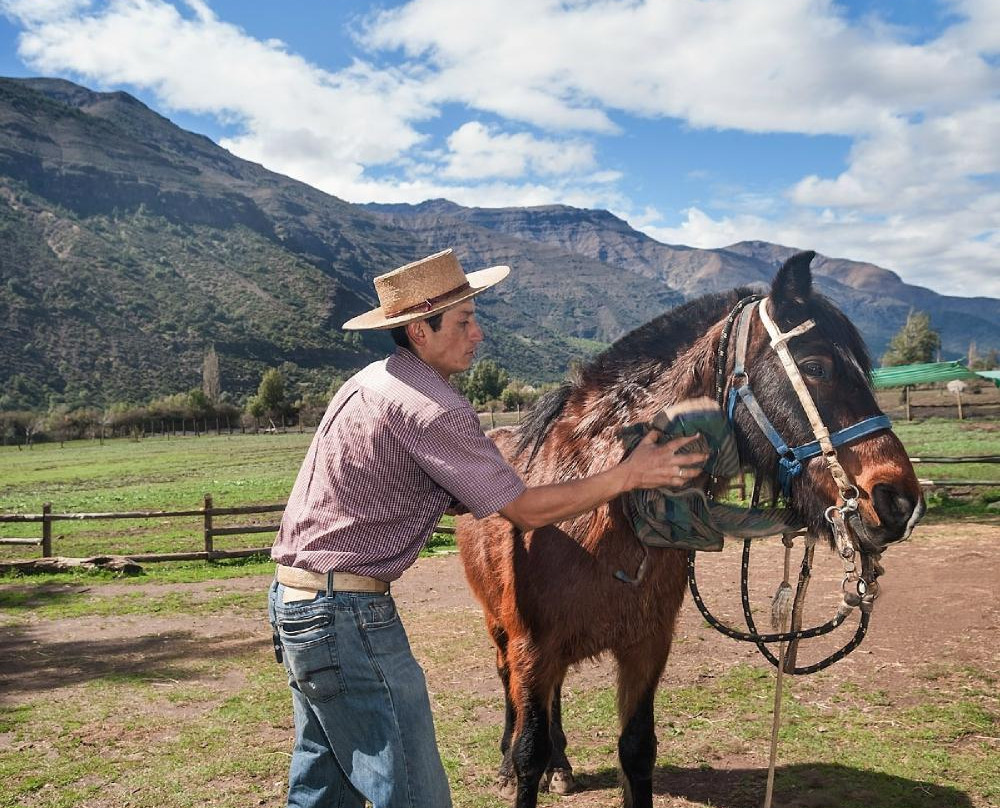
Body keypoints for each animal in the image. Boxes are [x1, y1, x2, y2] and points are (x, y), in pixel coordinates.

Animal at [456, 251, 925, 808]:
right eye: (815, 366)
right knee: (508, 680)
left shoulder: (646, 646)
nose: (898, 501)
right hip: (500, 628)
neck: (601, 514)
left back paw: (562, 765)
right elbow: (530, 750)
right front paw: (519, 764)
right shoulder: (532, 646)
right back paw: (510, 759)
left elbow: (637, 749)